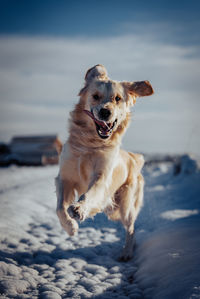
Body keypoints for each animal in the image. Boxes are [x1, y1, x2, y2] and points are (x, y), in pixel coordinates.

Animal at [55, 65, 154, 260]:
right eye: (95, 96)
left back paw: (127, 252)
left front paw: (79, 209)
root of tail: (132, 158)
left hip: (125, 206)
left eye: (118, 98)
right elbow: (60, 207)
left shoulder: (101, 178)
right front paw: (70, 227)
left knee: (130, 228)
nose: (105, 112)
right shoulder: (64, 177)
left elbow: (89, 195)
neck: (90, 144)